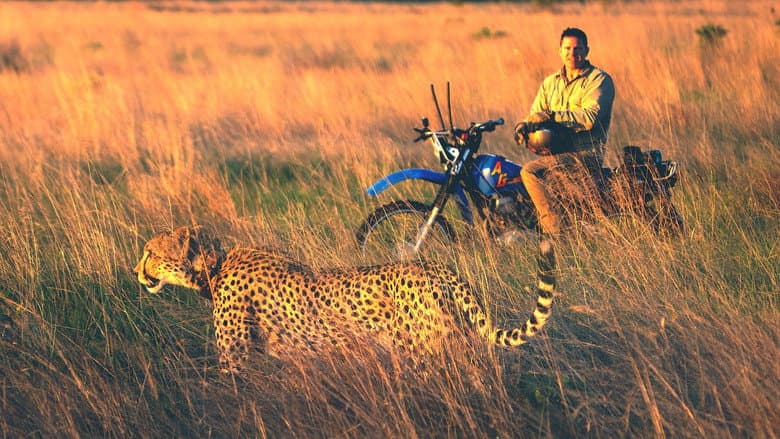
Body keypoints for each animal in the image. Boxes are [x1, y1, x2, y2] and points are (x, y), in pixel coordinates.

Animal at [134, 226, 557, 373]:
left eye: (150, 253)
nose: (136, 272)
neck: (215, 267)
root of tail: (434, 266)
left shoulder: (236, 359)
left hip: (427, 349)